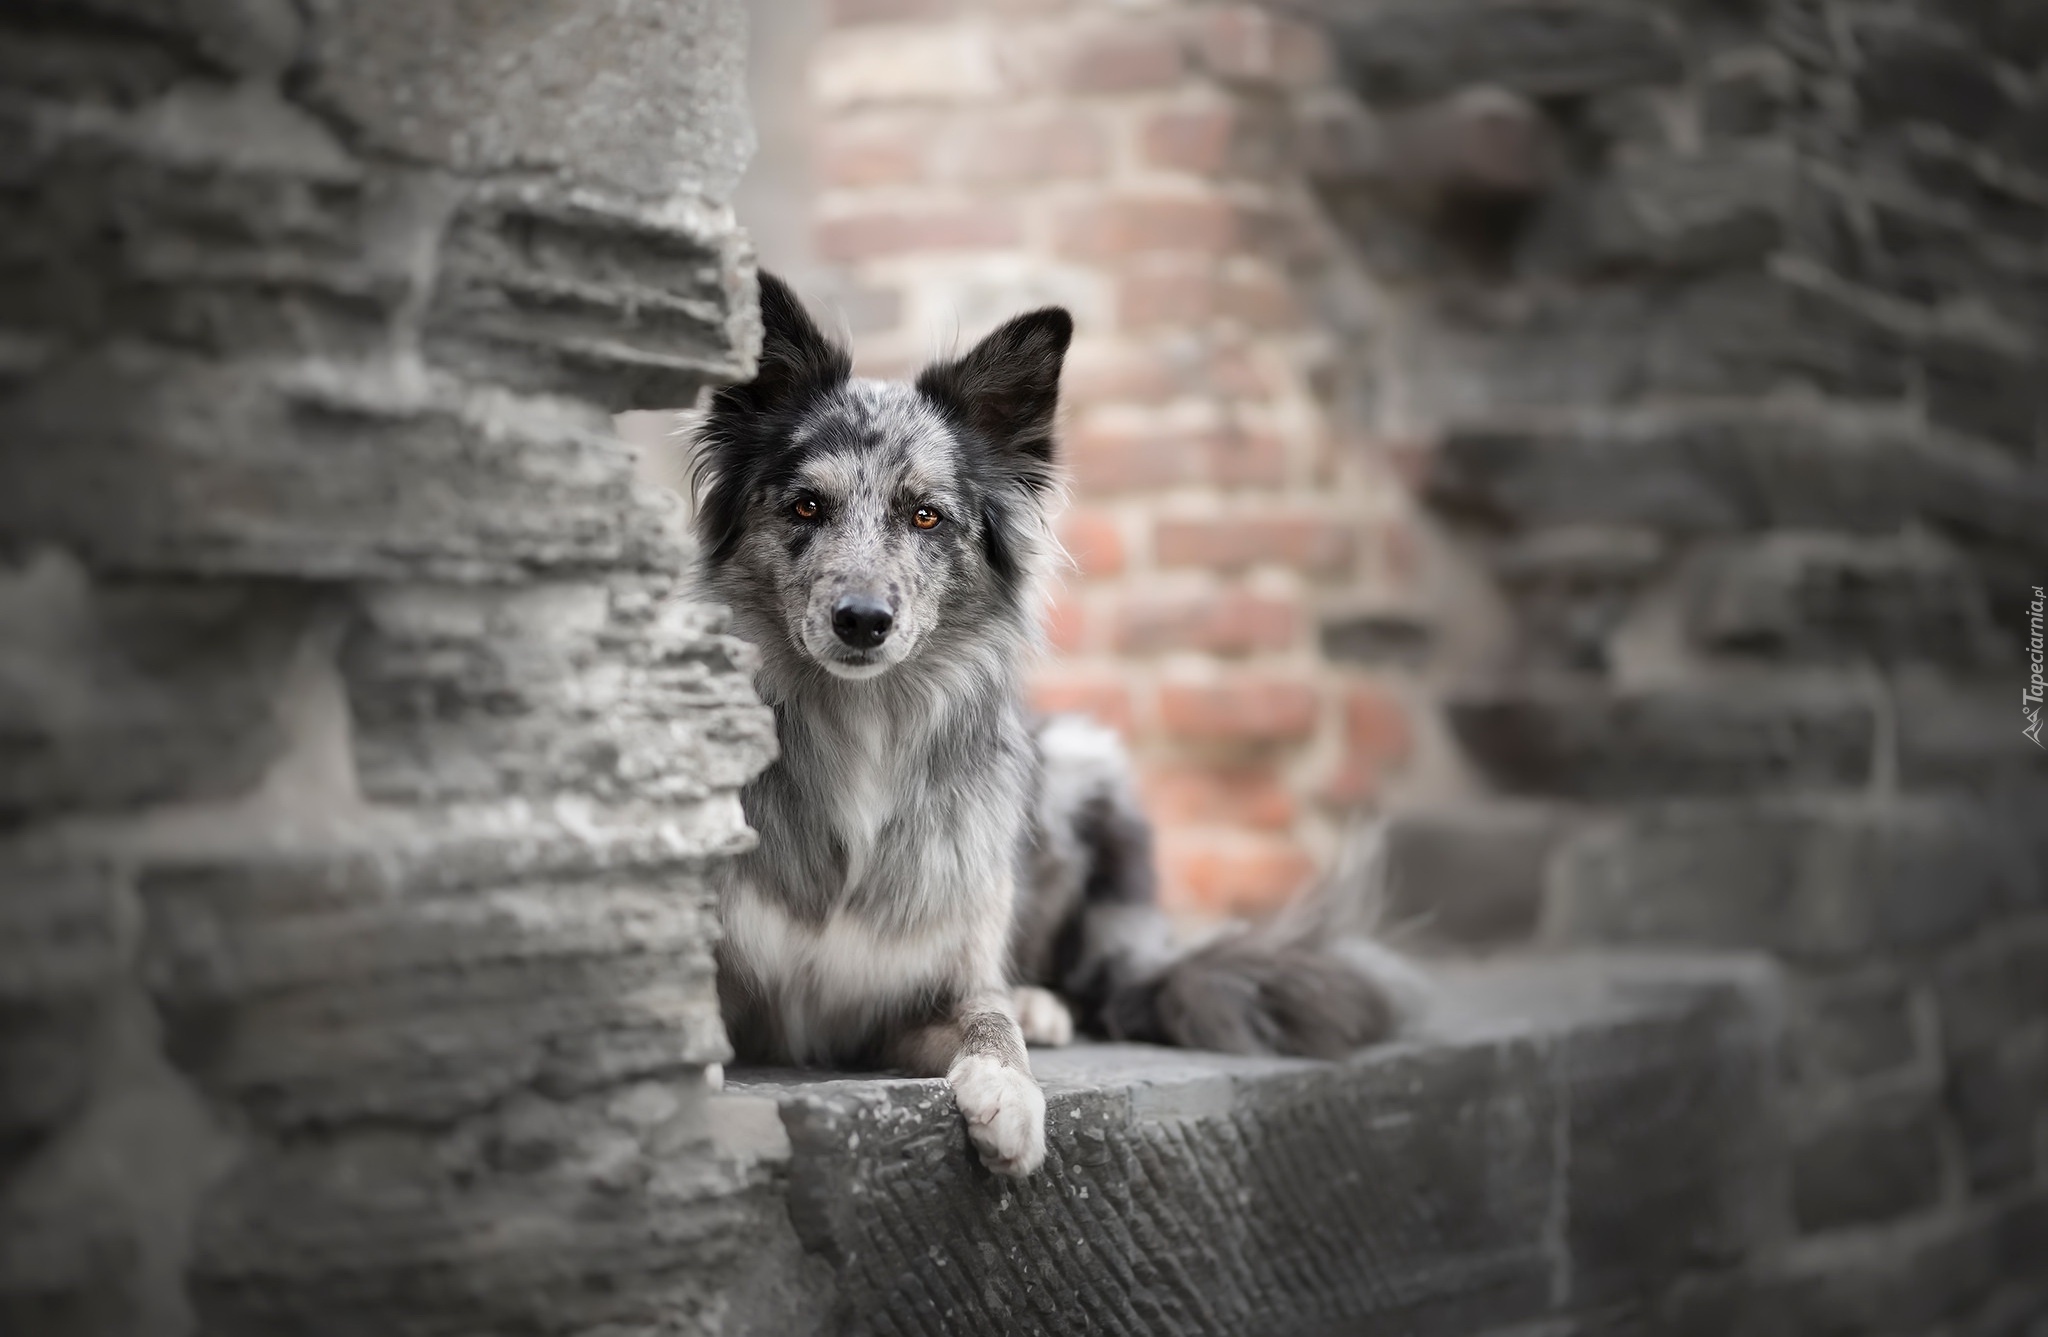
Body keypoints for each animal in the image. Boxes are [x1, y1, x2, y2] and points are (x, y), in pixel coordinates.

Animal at [692, 276, 1425, 1171]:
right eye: (805, 506)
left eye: (927, 516)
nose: (861, 620)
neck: (862, 723)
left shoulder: (922, 989)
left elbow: (990, 1018)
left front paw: (1011, 1092)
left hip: (1085, 763)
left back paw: (1044, 1003)